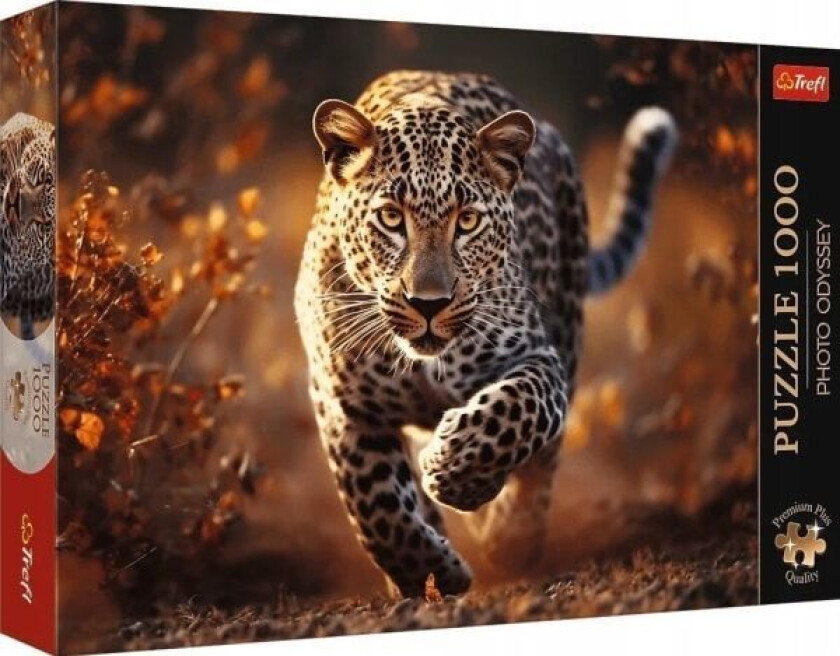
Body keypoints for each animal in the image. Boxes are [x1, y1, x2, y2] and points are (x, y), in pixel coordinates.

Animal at [294, 70, 676, 597]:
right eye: (391, 218)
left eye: (468, 221)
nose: (428, 303)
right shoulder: (342, 402)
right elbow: (376, 504)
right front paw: (429, 573)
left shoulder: (538, 357)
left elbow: (516, 411)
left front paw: (457, 472)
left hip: (569, 326)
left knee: (542, 464)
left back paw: (511, 536)